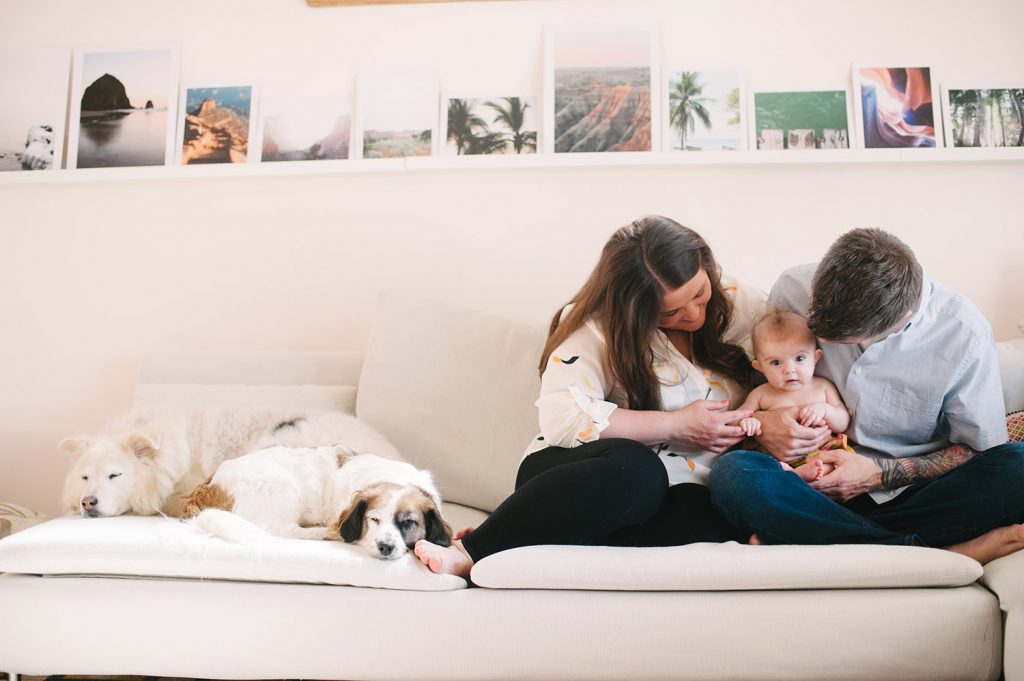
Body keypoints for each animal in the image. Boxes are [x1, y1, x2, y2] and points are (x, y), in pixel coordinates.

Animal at [183, 444, 452, 561]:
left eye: (408, 523)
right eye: (373, 519)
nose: (385, 546)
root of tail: (210, 484)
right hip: (283, 489)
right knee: (282, 531)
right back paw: (323, 532)